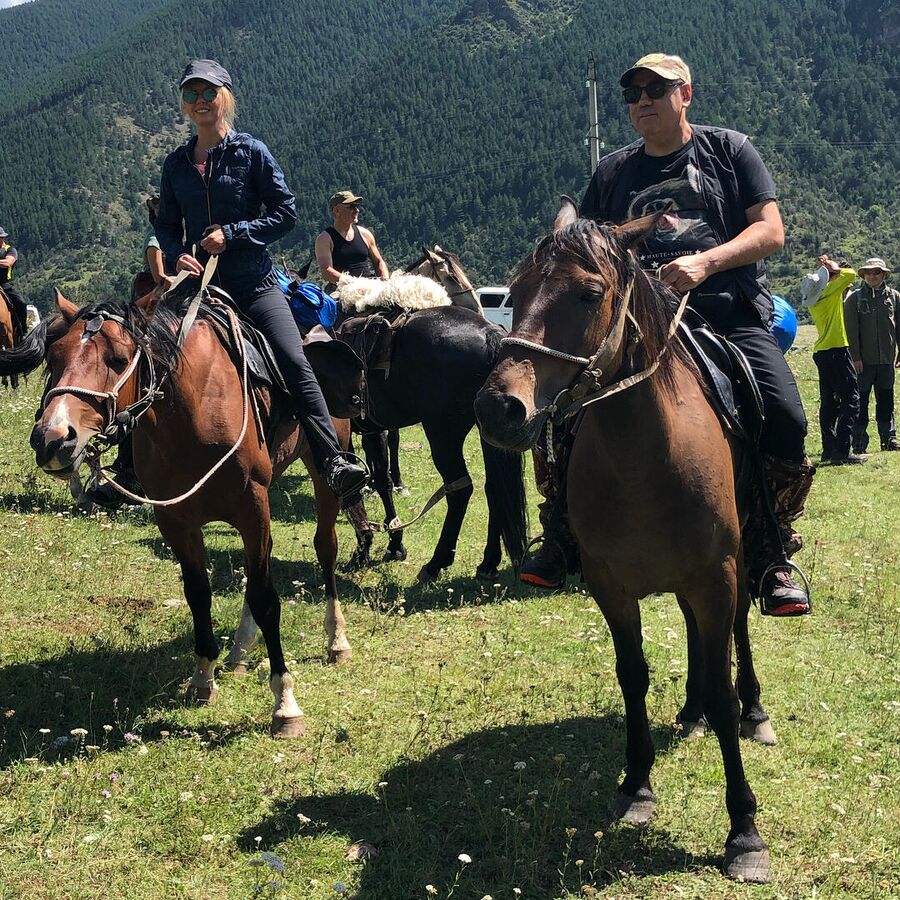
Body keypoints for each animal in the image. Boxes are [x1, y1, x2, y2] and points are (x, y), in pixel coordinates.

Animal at [0, 286, 356, 740]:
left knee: (325, 547)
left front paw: (285, 704)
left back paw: (336, 640)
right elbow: (199, 594)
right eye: (55, 357)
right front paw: (203, 679)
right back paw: (241, 650)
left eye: (118, 358)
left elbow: (266, 599)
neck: (195, 411)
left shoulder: (252, 508)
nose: (52, 439)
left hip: (324, 472)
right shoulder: (176, 522)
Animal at [478, 200, 772, 884]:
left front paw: (743, 831)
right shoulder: (611, 585)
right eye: (516, 292)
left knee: (739, 629)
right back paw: (688, 713)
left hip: (737, 561)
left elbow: (722, 683)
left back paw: (753, 710)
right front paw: (637, 785)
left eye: (589, 294)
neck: (647, 460)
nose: (498, 407)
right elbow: (632, 674)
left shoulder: (715, 574)